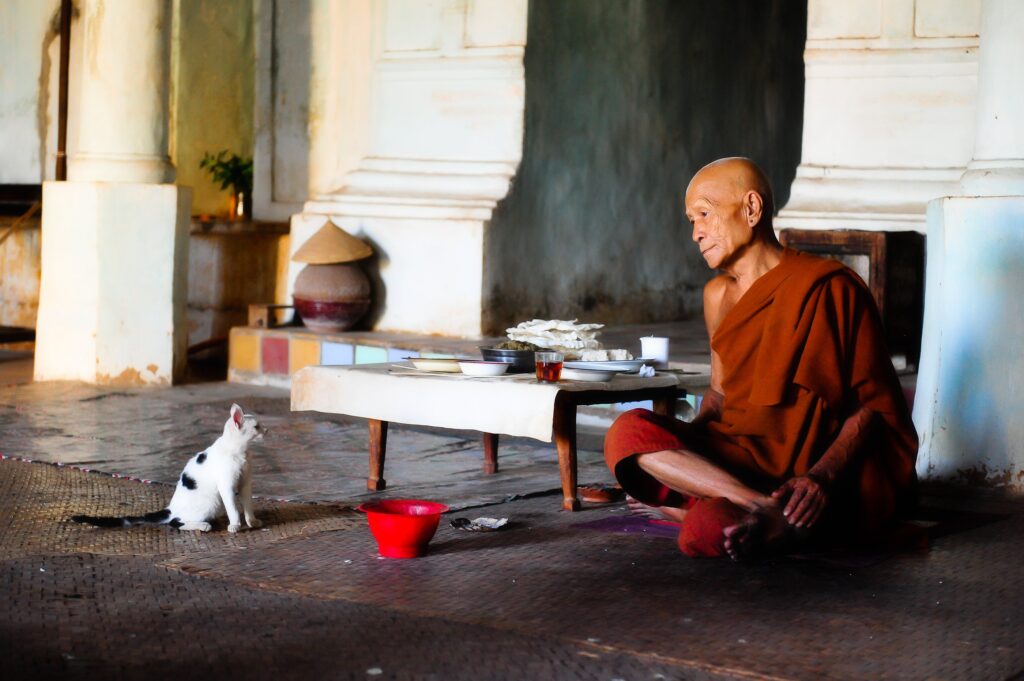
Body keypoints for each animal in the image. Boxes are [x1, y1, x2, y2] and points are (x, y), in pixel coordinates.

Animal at [71, 403, 264, 532]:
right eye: (257, 427)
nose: (267, 430)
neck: (240, 452)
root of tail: (170, 507)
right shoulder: (226, 486)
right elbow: (233, 509)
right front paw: (235, 525)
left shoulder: (245, 484)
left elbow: (248, 505)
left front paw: (252, 522)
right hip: (211, 503)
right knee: (175, 522)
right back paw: (203, 525)